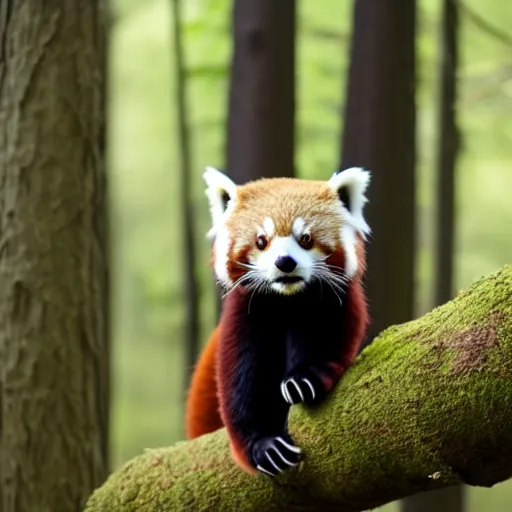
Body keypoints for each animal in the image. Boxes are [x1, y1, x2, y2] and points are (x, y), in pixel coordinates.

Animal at [186, 166, 370, 478]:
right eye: (262, 241)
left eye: (305, 238)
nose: (285, 262)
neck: (287, 299)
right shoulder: (246, 313)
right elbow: (242, 379)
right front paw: (263, 446)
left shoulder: (336, 302)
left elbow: (325, 341)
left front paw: (304, 378)